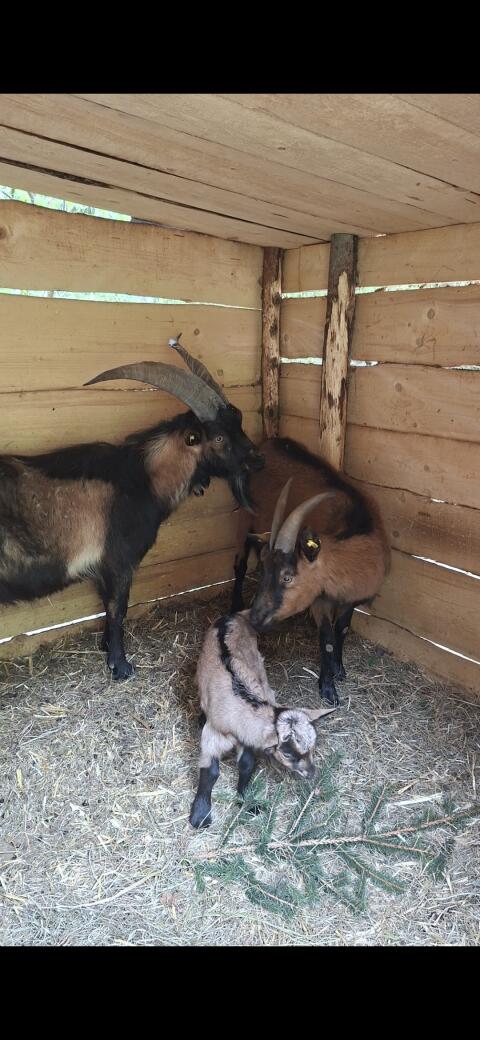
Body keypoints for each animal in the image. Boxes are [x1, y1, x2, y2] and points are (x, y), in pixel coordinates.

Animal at [0, 337, 264, 679]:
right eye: (218, 437)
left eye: (240, 420)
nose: (259, 459)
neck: (142, 479)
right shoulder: (120, 559)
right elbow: (118, 608)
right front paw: (120, 665)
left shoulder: (102, 565)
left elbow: (106, 604)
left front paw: (106, 648)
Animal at [189, 609, 334, 828]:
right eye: (288, 754)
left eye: (312, 748)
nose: (311, 774)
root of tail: (234, 616)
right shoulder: (214, 733)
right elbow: (211, 771)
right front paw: (200, 815)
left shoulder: (248, 737)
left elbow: (246, 764)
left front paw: (246, 801)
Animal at [232, 437, 390, 706]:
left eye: (287, 576)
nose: (255, 618)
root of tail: (267, 443)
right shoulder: (319, 599)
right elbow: (326, 640)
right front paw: (328, 689)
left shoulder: (350, 598)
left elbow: (342, 629)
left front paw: (339, 669)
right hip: (244, 519)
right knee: (239, 563)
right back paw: (234, 603)